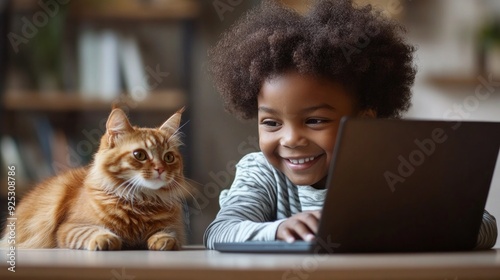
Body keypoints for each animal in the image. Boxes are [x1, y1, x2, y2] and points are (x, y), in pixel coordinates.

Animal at [0, 107, 189, 252]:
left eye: (169, 157)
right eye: (139, 155)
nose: (160, 169)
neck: (140, 202)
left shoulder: (175, 229)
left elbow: (169, 233)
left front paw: (164, 239)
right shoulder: (69, 227)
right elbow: (91, 232)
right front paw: (104, 238)